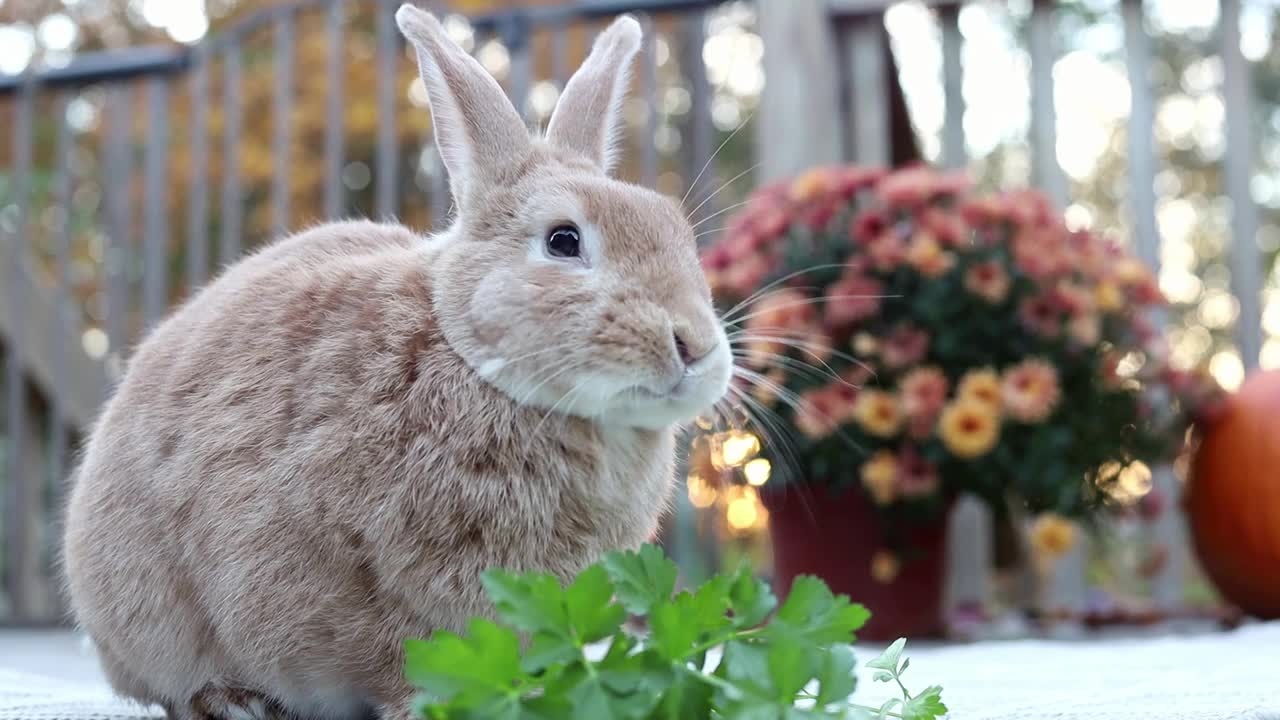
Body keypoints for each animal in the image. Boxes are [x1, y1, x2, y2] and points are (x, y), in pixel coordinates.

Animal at [62, 5, 732, 717]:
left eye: (674, 228)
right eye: (562, 240)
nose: (694, 345)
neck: (473, 362)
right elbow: (402, 659)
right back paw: (232, 700)